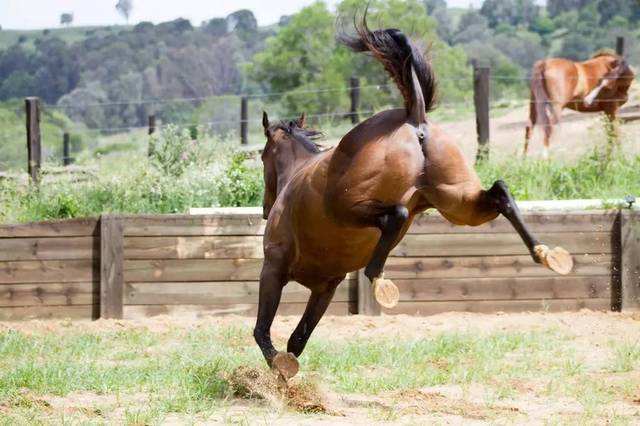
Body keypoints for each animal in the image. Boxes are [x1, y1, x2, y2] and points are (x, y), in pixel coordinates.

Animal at [254, 18, 576, 382]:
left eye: (262, 156)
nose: (265, 208)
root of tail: (413, 115)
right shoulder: (326, 286)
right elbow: (297, 340)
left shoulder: (275, 267)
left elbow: (263, 332)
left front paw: (277, 370)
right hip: (457, 203)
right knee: (500, 192)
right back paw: (546, 253)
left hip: (347, 207)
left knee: (394, 215)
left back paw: (379, 279)